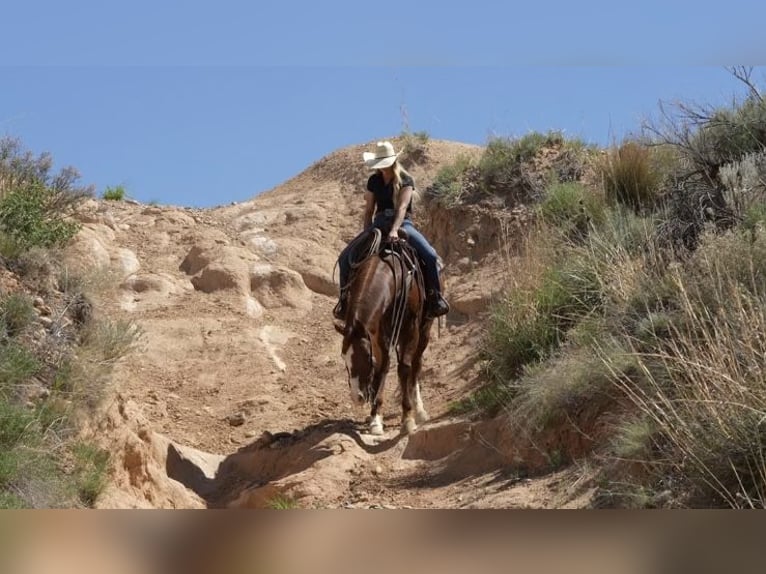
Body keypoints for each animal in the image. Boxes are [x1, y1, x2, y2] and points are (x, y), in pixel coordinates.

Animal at [332, 230, 436, 436]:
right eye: (344, 359)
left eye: (367, 359)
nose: (357, 397)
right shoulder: (378, 332)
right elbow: (383, 367)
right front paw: (375, 418)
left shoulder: (410, 328)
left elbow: (403, 368)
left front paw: (408, 418)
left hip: (424, 330)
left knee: (416, 365)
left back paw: (419, 409)